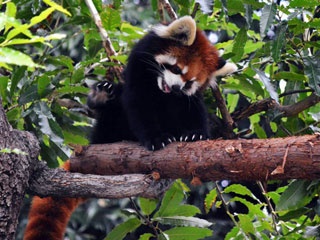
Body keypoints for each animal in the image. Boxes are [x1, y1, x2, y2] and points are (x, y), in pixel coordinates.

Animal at [23, 15, 236, 239]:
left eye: (189, 83)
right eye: (177, 69)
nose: (176, 87)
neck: (160, 87)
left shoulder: (186, 99)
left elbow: (193, 110)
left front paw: (195, 134)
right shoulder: (137, 73)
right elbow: (138, 106)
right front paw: (156, 138)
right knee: (113, 104)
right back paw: (101, 96)